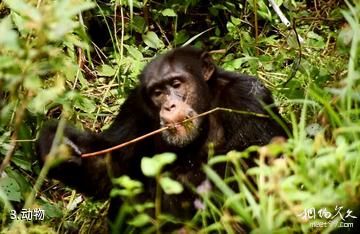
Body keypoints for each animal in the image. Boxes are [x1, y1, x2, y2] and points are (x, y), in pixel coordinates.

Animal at [36, 46, 288, 229]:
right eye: (157, 92)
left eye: (176, 83)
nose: (169, 105)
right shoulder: (134, 108)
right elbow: (112, 165)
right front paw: (56, 146)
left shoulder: (248, 99)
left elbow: (253, 174)